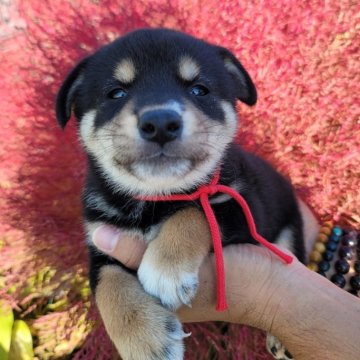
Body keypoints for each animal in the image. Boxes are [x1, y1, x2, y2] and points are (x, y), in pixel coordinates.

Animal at [55, 28, 304, 360]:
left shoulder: (243, 209)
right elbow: (106, 284)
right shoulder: (101, 241)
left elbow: (196, 211)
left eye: (200, 89)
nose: (160, 123)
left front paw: (166, 267)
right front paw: (145, 338)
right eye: (116, 93)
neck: (156, 199)